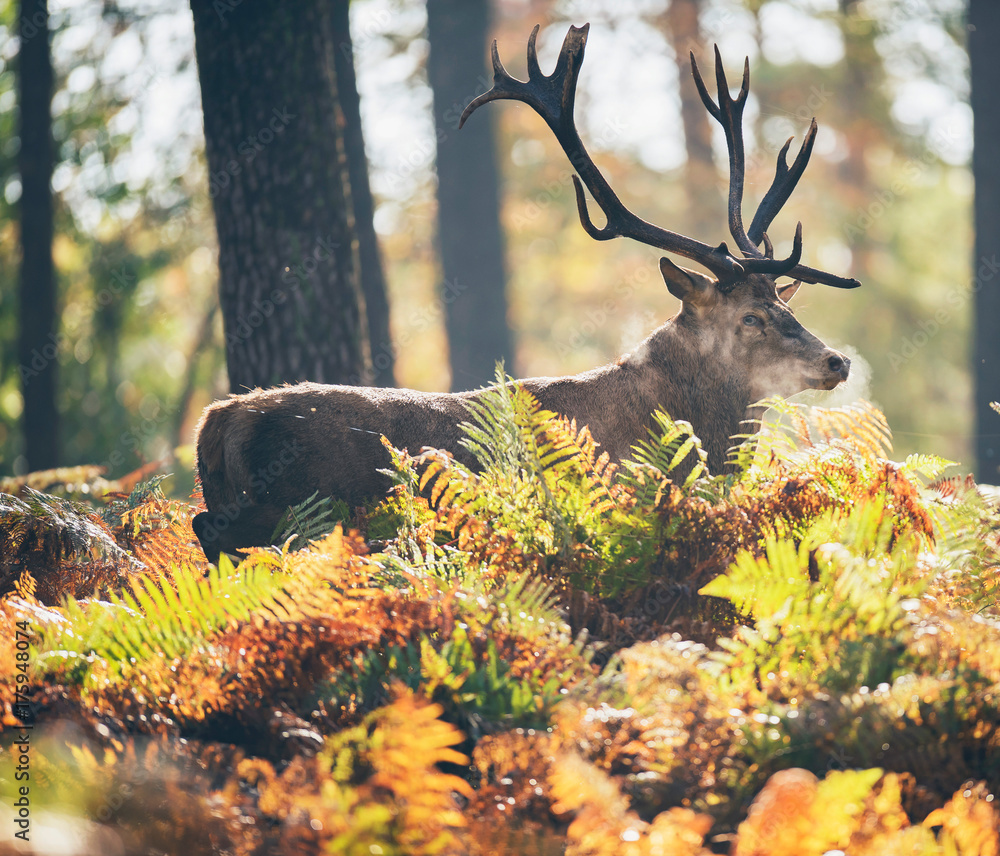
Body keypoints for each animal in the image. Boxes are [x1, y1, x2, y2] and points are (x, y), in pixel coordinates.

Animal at [192, 24, 859, 563]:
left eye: (786, 304)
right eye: (750, 318)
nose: (838, 361)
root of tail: (216, 421)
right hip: (295, 510)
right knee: (215, 534)